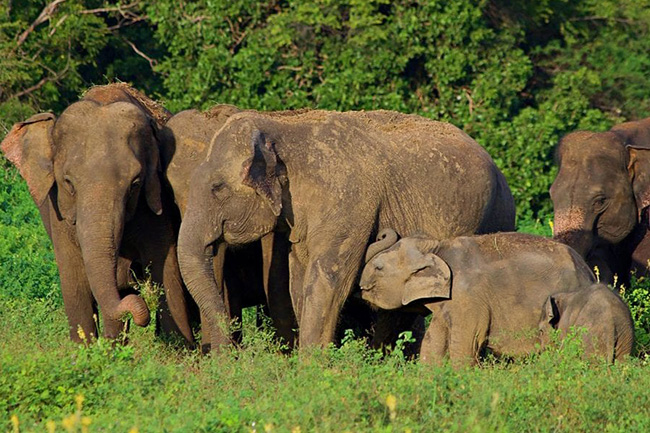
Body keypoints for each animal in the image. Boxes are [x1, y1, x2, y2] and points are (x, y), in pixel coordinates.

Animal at [1, 83, 195, 344]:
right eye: (69, 182)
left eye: (135, 183)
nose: (138, 304)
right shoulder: (57, 209)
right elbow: (73, 276)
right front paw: (87, 351)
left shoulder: (156, 202)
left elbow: (166, 268)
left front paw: (179, 350)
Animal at [176, 109, 516, 350]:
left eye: (217, 188)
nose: (234, 351)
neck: (284, 127)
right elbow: (299, 278)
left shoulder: (348, 202)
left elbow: (329, 280)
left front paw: (310, 367)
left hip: (495, 216)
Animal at [359, 229, 597, 365]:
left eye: (378, 267)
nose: (360, 287)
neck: (436, 246)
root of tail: (589, 273)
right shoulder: (447, 304)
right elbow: (432, 343)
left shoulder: (468, 297)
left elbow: (464, 344)